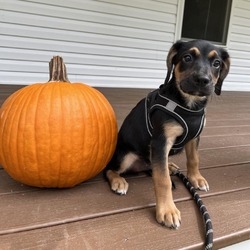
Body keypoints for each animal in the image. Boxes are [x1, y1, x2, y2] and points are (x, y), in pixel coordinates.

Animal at [104, 39, 229, 229]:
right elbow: (163, 180)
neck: (189, 104)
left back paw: (169, 166)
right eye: (187, 57)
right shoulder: (161, 141)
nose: (202, 80)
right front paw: (167, 210)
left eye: (216, 63)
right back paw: (119, 181)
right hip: (125, 156)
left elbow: (194, 159)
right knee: (110, 169)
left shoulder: (194, 137)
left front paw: (196, 178)